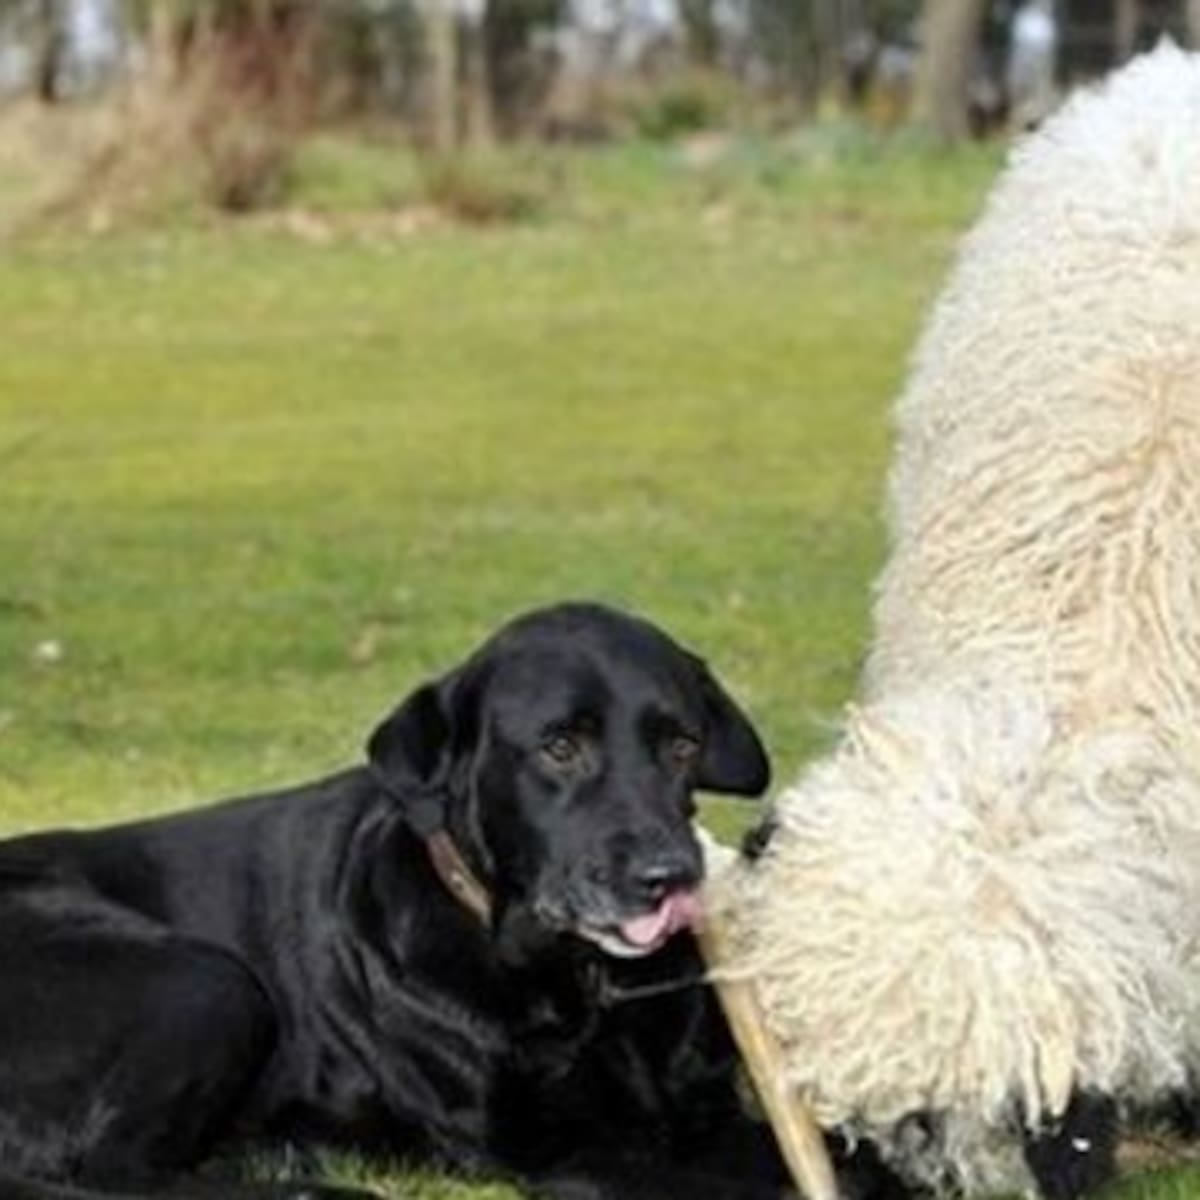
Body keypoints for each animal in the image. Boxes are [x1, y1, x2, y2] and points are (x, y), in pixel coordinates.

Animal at [0, 602, 903, 1200]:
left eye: (680, 744)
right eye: (559, 747)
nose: (669, 874)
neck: (584, 987)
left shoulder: (702, 1111)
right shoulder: (561, 1151)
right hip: (208, 980)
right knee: (113, 1169)